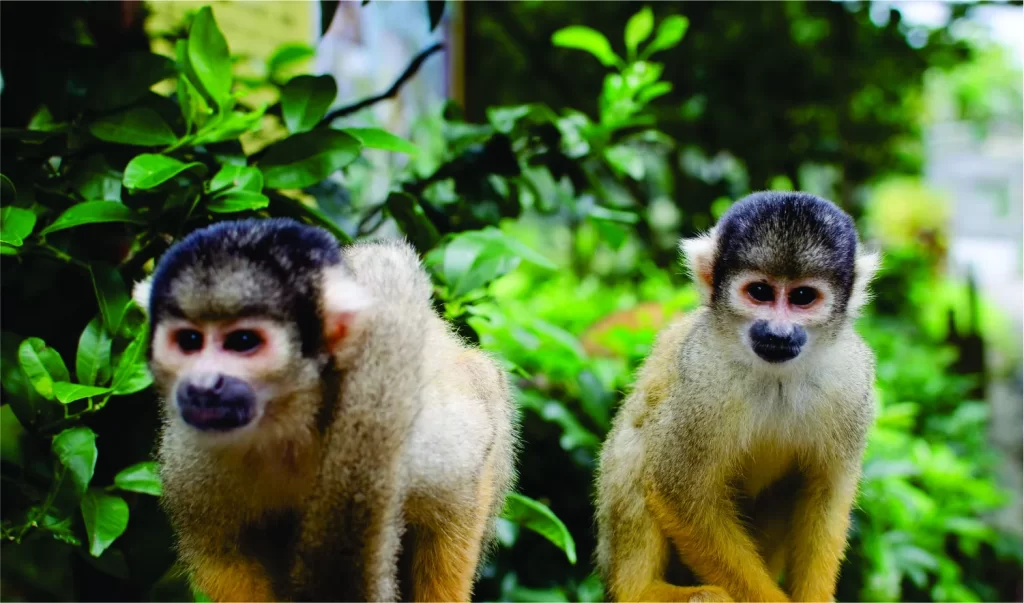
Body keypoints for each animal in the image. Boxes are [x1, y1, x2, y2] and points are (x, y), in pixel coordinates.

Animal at [132, 217, 518, 602]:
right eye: (189, 341)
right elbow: (223, 557)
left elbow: (457, 498)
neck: (294, 418)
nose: (202, 386)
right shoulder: (191, 456)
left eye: (243, 342)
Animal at [594, 191, 880, 603]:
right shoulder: (702, 378)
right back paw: (642, 590)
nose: (778, 332)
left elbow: (826, 492)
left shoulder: (852, 379)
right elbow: (678, 490)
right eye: (760, 292)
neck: (775, 375)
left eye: (803, 297)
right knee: (638, 437)